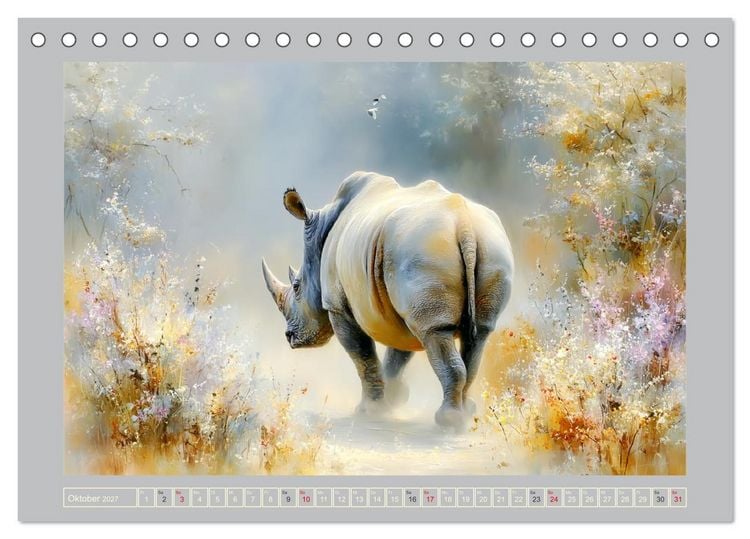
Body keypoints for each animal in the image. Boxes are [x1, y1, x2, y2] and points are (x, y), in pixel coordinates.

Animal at [262, 171, 513, 429]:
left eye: (296, 287)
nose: (289, 337)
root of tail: (464, 225)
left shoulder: (337, 307)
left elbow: (362, 357)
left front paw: (370, 411)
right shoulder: (402, 306)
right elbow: (398, 353)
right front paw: (393, 400)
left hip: (421, 251)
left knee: (435, 332)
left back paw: (448, 420)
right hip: (490, 249)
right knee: (479, 334)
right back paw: (466, 413)